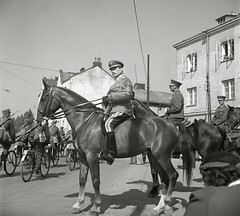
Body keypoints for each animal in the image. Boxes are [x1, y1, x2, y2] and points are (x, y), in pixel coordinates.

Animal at [36, 80, 193, 215]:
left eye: (44, 98)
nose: (38, 120)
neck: (85, 120)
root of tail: (171, 124)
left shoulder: (92, 156)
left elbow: (95, 180)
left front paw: (95, 207)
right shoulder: (82, 157)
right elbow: (82, 180)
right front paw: (77, 204)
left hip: (162, 157)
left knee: (172, 176)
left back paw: (167, 205)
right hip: (156, 157)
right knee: (165, 179)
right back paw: (159, 207)